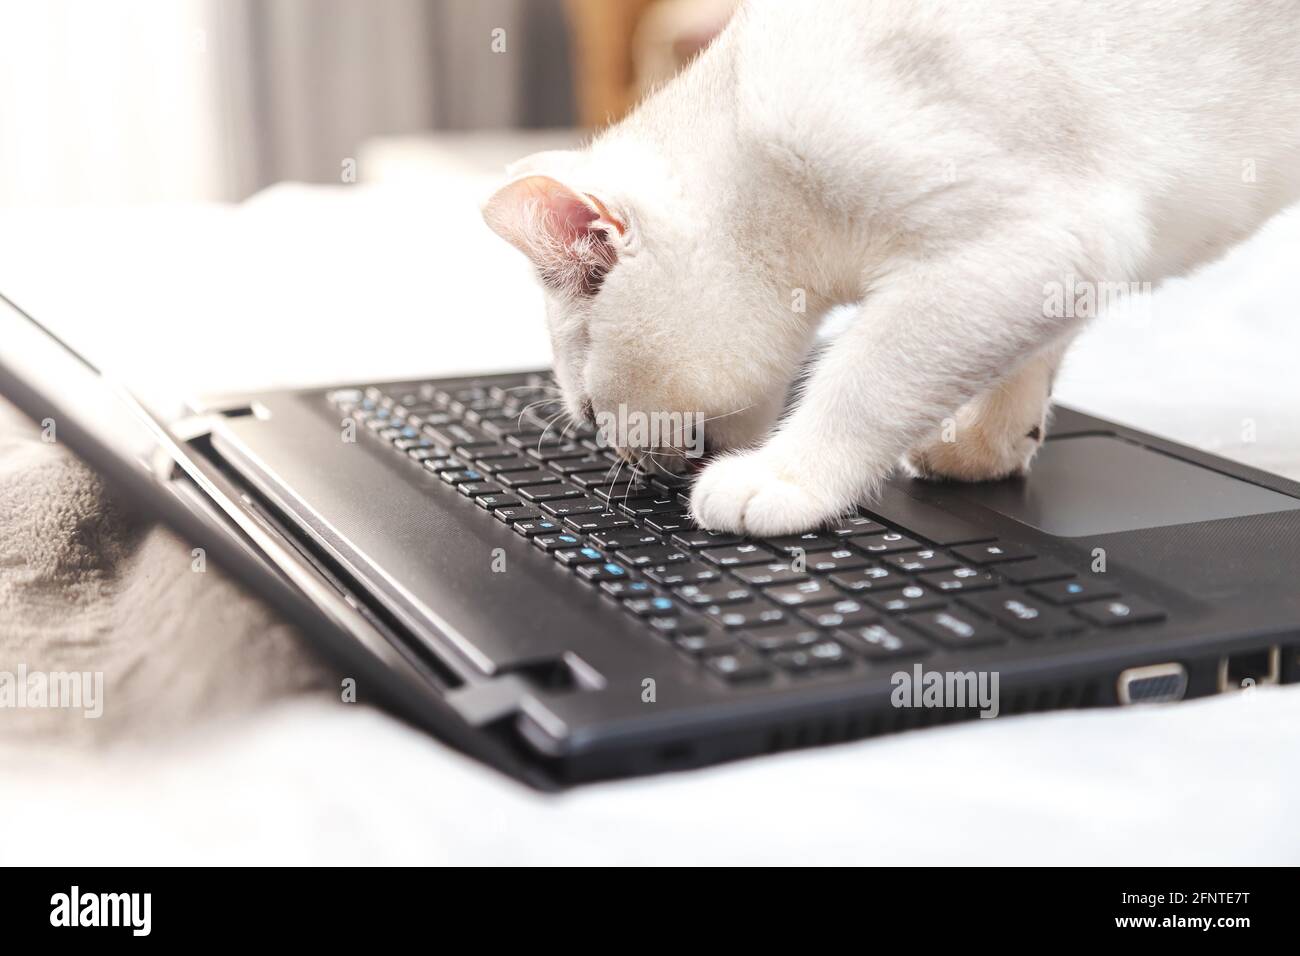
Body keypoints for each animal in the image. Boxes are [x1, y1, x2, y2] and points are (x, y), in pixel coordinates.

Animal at [480, 0, 1300, 538]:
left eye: (591, 412)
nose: (617, 456)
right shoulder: (1058, 270)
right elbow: (1029, 362)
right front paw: (989, 446)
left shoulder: (1025, 244)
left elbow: (863, 380)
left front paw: (781, 479)